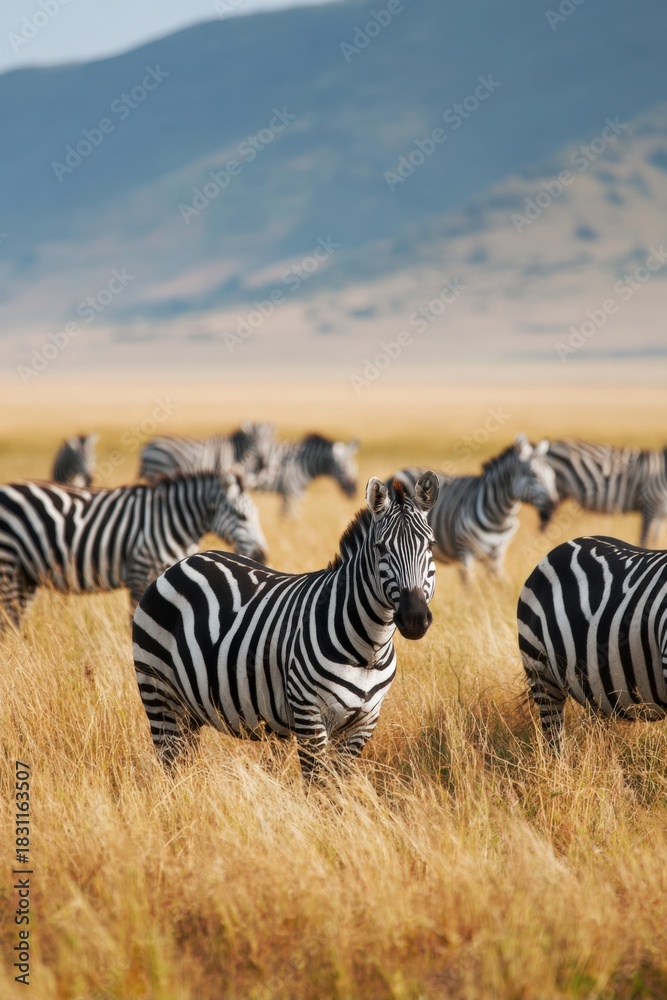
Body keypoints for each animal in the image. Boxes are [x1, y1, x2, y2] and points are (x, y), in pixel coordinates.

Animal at [0, 472, 267, 630]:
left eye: (256, 515)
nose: (262, 556)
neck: (170, 519)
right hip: (7, 562)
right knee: (9, 620)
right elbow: (135, 617)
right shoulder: (140, 570)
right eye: (240, 516)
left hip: (26, 573)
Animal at [132, 472, 439, 779]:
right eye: (381, 548)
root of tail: (183, 563)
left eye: (430, 546)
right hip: (159, 694)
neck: (370, 648)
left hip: (190, 710)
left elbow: (339, 786)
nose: (414, 618)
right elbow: (317, 784)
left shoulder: (364, 722)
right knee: (169, 763)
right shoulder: (309, 715)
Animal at [139, 422, 276, 486]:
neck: (236, 453)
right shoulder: (222, 470)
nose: (264, 463)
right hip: (159, 470)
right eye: (254, 441)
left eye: (269, 440)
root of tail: (147, 446)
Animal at [390, 434, 557, 581]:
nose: (553, 504)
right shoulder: (465, 550)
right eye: (533, 474)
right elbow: (470, 585)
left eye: (552, 474)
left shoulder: (498, 553)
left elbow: (500, 583)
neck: (500, 517)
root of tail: (400, 471)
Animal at [538, 438, 667, 546]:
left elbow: (655, 539)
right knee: (544, 524)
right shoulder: (650, 501)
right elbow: (644, 539)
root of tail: (550, 446)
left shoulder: (661, 513)